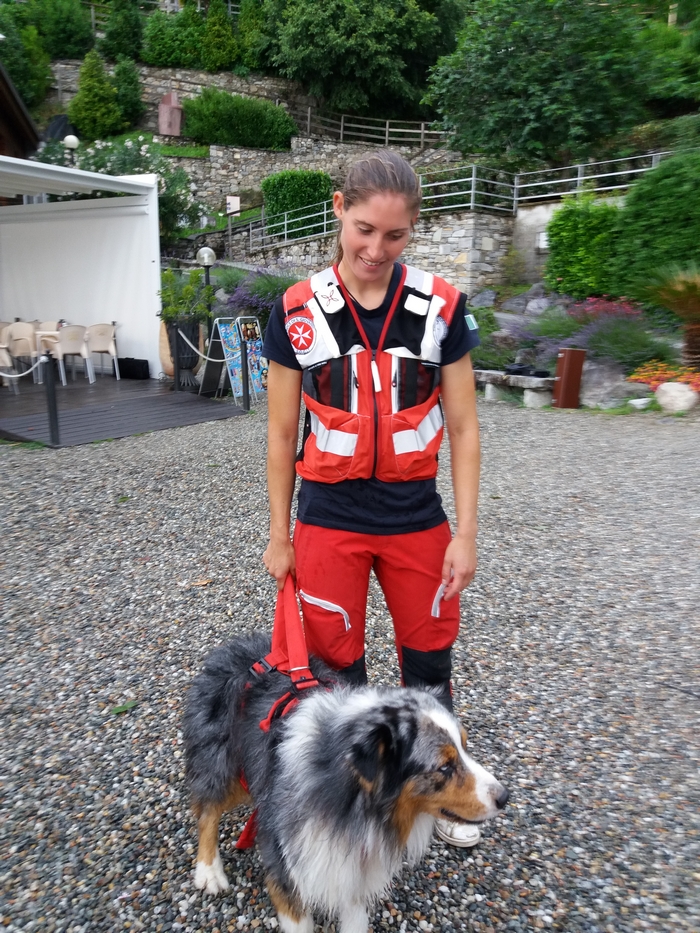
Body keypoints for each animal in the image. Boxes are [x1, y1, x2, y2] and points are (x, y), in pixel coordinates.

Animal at [183, 633, 508, 933]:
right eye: (444, 766)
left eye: (465, 747)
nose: (505, 797)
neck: (357, 810)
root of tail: (238, 644)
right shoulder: (287, 866)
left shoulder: (352, 870)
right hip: (223, 763)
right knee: (207, 809)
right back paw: (209, 871)